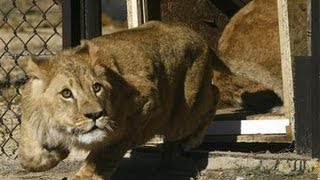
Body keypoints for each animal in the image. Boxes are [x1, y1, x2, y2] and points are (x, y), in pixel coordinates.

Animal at [18, 20, 220, 179]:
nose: (95, 115)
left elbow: (104, 156)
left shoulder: (144, 102)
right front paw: (54, 153)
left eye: (96, 87)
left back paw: (190, 141)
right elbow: (28, 156)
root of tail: (197, 35)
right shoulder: (31, 115)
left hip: (180, 118)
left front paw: (85, 175)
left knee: (214, 94)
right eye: (66, 93)